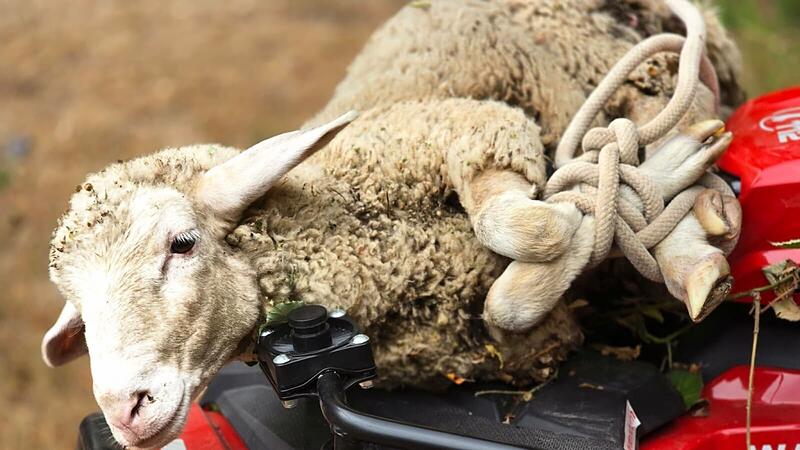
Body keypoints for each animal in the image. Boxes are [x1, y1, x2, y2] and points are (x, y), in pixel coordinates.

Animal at [41, 0, 743, 448]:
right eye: (78, 306)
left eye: (181, 244)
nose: (125, 413)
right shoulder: (520, 343)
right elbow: (511, 300)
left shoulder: (475, 128)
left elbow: (524, 228)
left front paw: (621, 186)